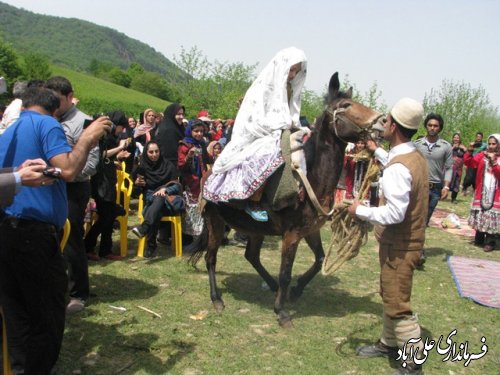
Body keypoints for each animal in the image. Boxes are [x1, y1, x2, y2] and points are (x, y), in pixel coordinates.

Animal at [191, 72, 382, 326]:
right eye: (345, 105)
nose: (382, 121)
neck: (311, 178)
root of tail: (209, 171)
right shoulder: (291, 234)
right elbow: (285, 272)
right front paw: (281, 311)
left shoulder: (310, 230)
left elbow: (320, 259)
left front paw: (297, 289)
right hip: (215, 222)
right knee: (211, 257)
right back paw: (217, 299)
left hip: (255, 229)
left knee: (251, 255)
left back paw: (270, 285)